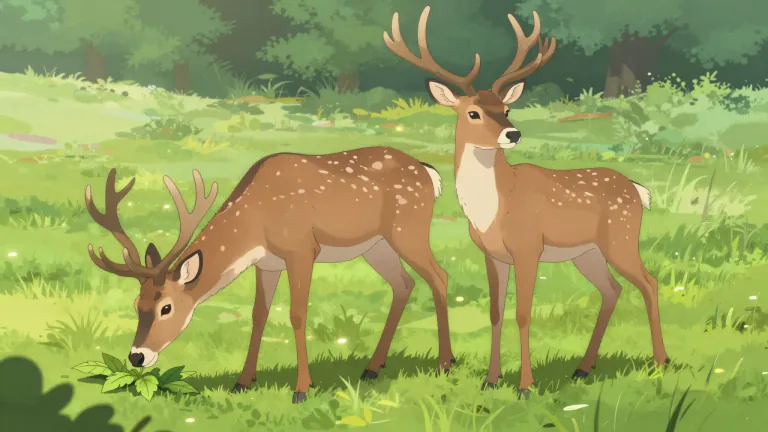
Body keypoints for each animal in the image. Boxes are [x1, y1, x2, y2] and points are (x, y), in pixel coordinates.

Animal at [85, 147, 455, 404]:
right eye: (137, 304)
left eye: (167, 308)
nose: (137, 356)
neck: (256, 221)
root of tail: (428, 172)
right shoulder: (267, 264)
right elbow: (259, 315)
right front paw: (242, 382)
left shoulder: (302, 249)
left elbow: (297, 314)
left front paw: (302, 389)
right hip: (377, 246)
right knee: (404, 284)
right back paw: (372, 368)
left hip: (408, 229)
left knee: (439, 276)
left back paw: (445, 363)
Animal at [384, 6, 670, 397]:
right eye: (473, 112)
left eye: (506, 108)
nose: (513, 133)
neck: (496, 208)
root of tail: (637, 189)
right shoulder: (492, 254)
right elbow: (496, 313)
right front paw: (490, 380)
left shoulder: (528, 247)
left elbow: (523, 313)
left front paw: (525, 386)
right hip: (588, 252)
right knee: (612, 290)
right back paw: (583, 368)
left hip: (621, 237)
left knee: (649, 282)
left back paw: (661, 362)